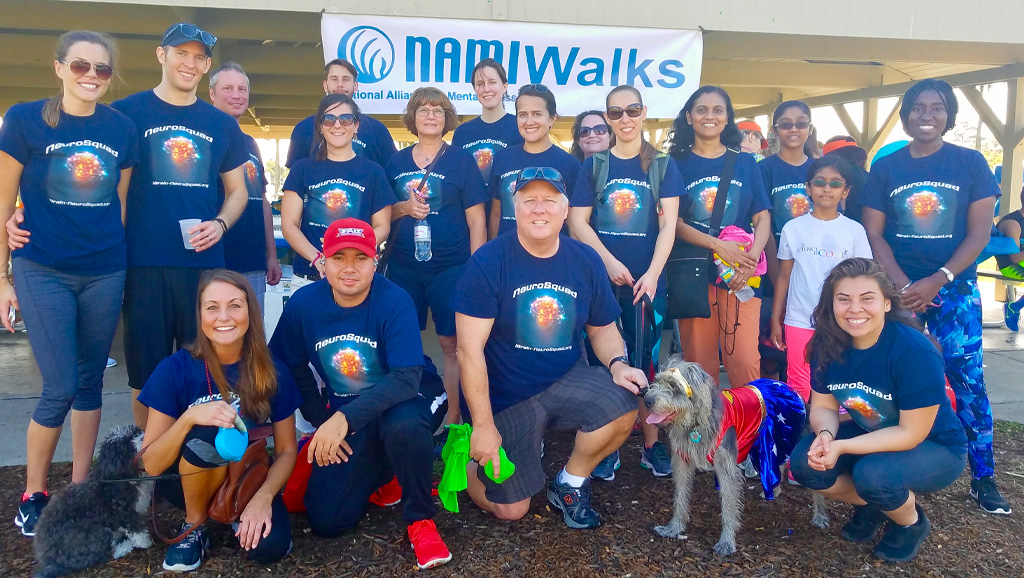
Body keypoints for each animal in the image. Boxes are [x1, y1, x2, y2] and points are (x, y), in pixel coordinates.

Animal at [33, 424, 153, 578]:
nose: (143, 437)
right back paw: (124, 547)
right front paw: (145, 542)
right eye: (127, 446)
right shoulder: (123, 511)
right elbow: (136, 529)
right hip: (92, 531)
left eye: (135, 432)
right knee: (104, 553)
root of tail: (50, 559)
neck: (120, 477)